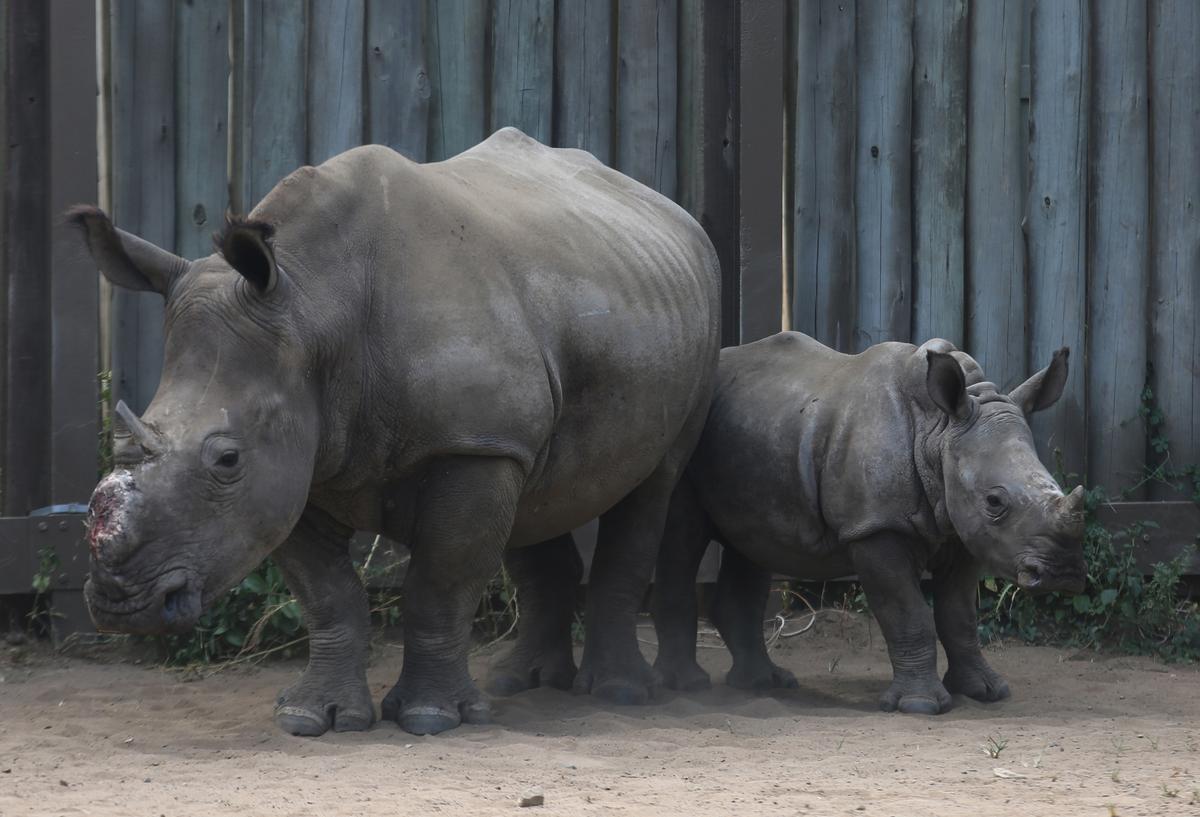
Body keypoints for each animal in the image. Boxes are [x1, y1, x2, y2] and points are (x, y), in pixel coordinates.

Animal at [71, 128, 720, 736]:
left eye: (226, 459)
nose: (120, 605)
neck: (312, 306)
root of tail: (673, 211)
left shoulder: (468, 446)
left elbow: (439, 585)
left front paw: (431, 719)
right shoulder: (298, 464)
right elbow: (328, 594)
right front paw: (312, 718)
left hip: (688, 323)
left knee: (654, 484)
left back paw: (619, 694)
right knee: (542, 493)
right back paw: (518, 683)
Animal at [652, 332, 1086, 714]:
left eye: (1056, 483)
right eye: (995, 502)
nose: (1063, 573)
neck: (938, 431)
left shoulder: (962, 529)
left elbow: (960, 616)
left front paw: (986, 692)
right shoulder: (875, 527)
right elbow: (909, 614)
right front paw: (921, 706)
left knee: (754, 544)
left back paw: (764, 684)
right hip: (689, 433)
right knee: (682, 535)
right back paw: (688, 685)